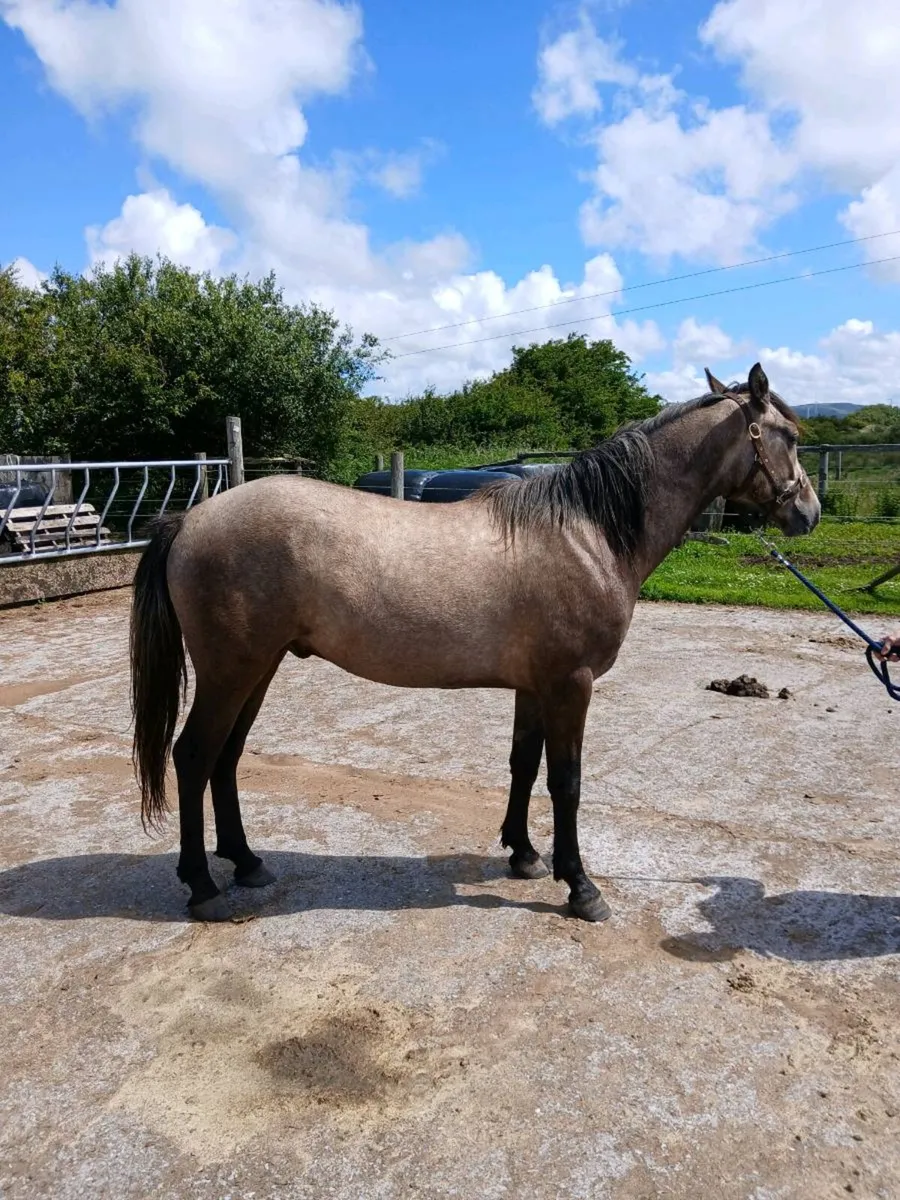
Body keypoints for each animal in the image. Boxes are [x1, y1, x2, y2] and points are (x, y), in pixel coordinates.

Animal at [130, 363, 820, 923]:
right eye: (787, 437)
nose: (808, 513)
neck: (587, 533)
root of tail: (188, 519)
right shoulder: (571, 685)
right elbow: (566, 781)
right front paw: (581, 886)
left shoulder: (536, 686)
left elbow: (523, 765)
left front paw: (524, 854)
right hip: (232, 670)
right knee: (193, 756)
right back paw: (202, 887)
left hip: (259, 668)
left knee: (225, 757)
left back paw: (247, 863)